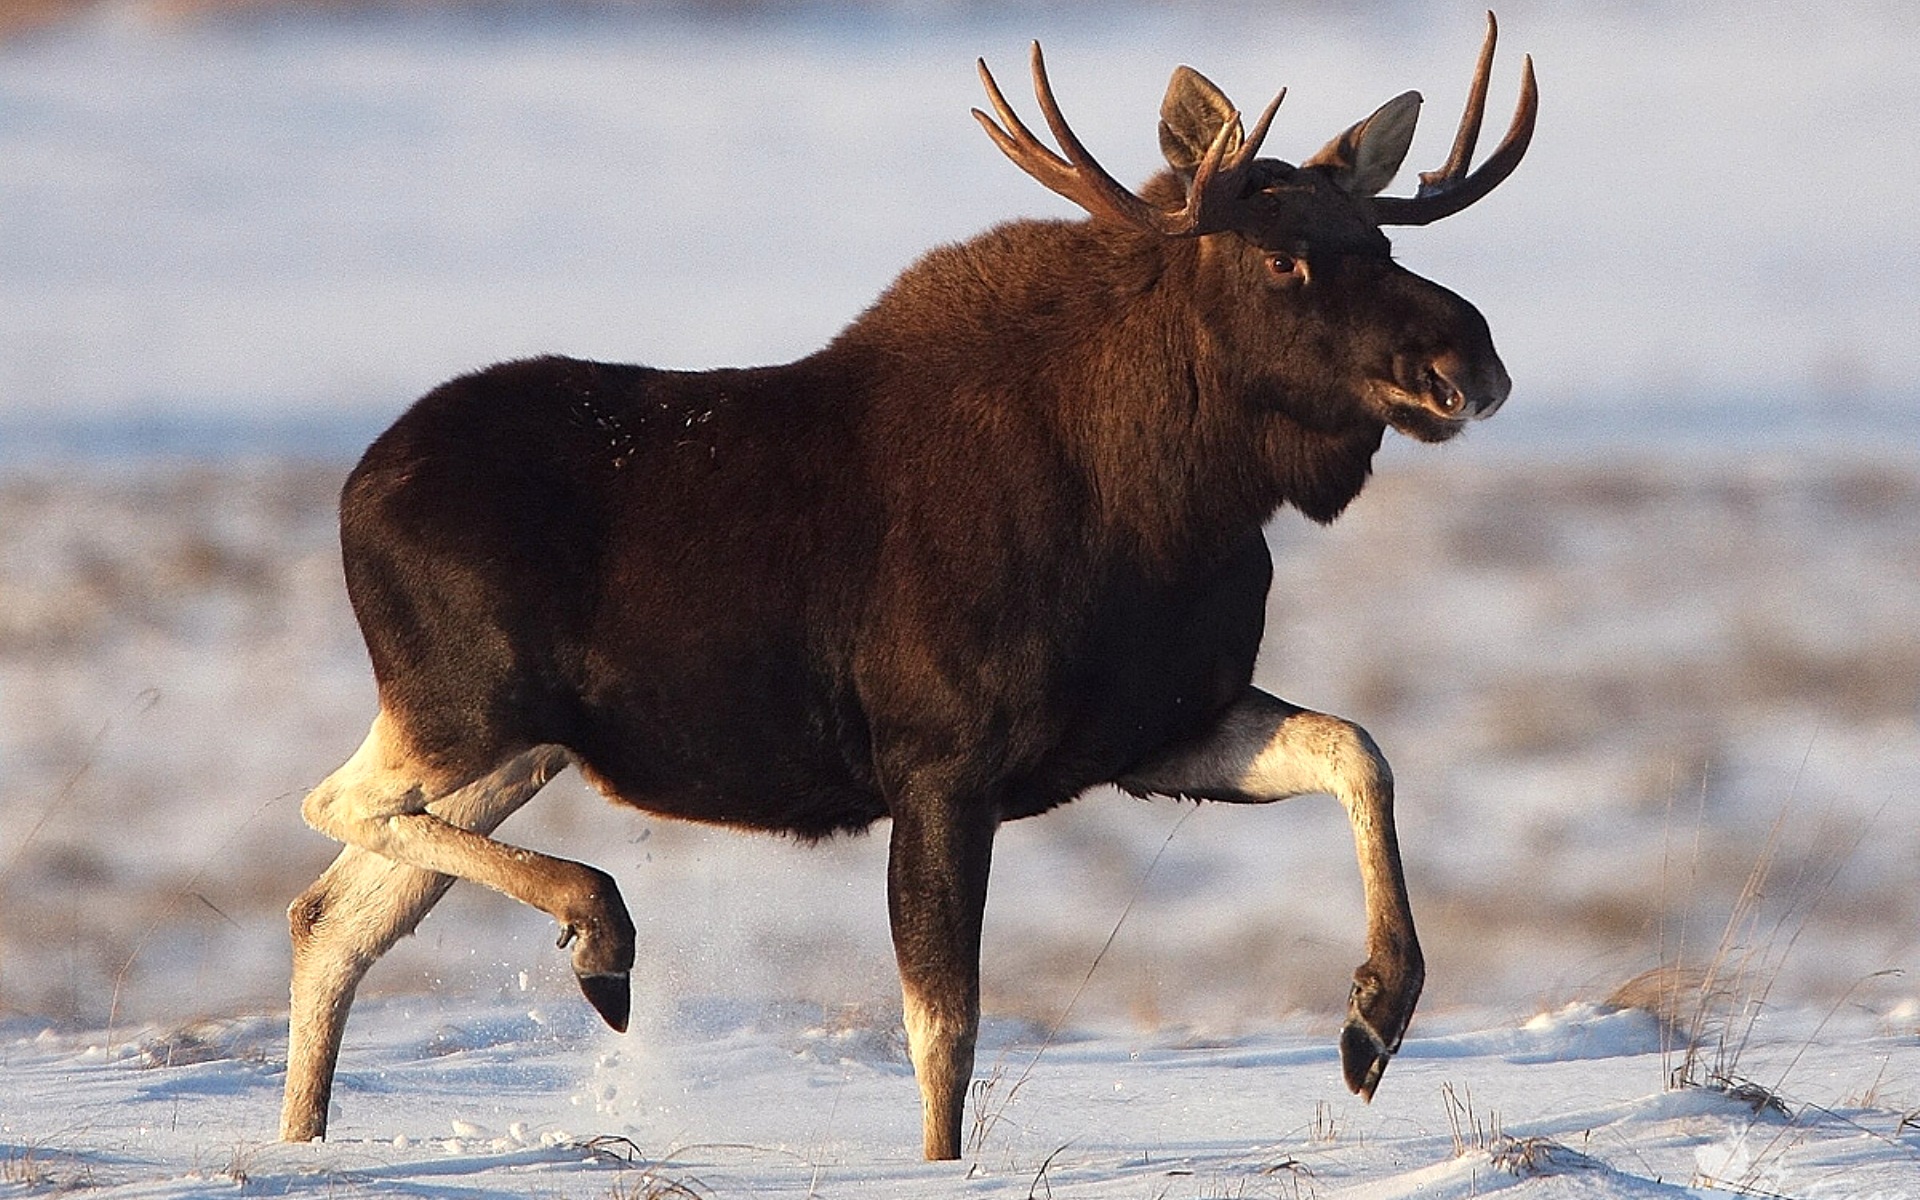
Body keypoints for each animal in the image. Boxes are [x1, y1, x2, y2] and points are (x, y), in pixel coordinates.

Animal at [278, 14, 1536, 1159]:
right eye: (1282, 258)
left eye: (1379, 238)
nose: (1466, 361)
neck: (1173, 507)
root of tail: (354, 490)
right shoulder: (940, 763)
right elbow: (945, 1033)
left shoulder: (1153, 732)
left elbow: (1357, 749)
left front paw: (1374, 1016)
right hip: (461, 708)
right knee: (334, 811)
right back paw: (598, 932)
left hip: (518, 747)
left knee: (333, 916)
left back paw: (311, 1135)